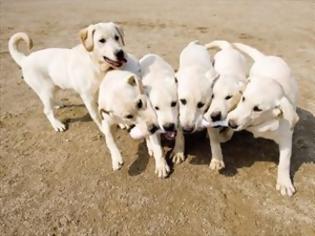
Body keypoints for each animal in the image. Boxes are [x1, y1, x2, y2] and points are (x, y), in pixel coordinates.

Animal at [202, 40, 249, 170]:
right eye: (212, 95)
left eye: (228, 97)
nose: (215, 115)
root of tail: (228, 49)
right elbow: (214, 140)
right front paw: (217, 160)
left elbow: (230, 131)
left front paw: (223, 136)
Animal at [228, 42, 300, 195]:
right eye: (243, 98)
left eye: (258, 109)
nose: (231, 123)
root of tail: (265, 57)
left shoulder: (286, 137)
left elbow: (285, 161)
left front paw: (284, 182)